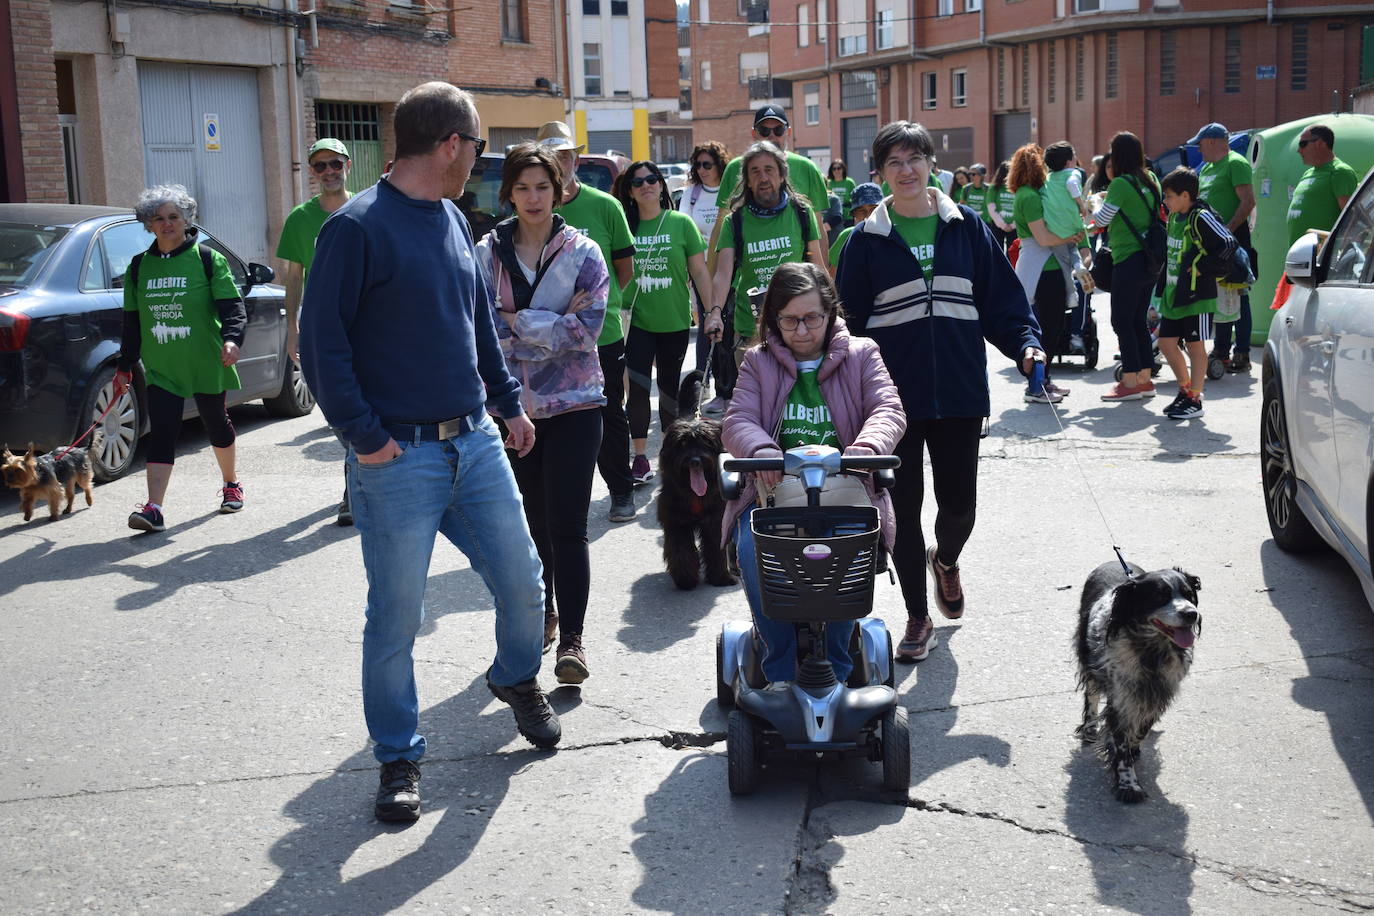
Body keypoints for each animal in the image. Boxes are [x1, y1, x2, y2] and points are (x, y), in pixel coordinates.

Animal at [656, 376, 736, 590]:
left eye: (706, 442)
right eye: (682, 443)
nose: (695, 461)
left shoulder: (716, 520)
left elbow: (716, 548)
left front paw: (720, 577)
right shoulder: (677, 521)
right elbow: (681, 550)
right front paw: (685, 578)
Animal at [1077, 563, 1198, 807]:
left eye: (1189, 594)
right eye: (1160, 596)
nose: (1192, 614)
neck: (1151, 651)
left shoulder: (1155, 697)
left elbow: (1139, 732)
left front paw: (1131, 750)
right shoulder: (1122, 699)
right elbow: (1122, 743)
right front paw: (1128, 784)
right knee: (1091, 693)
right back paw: (1090, 727)